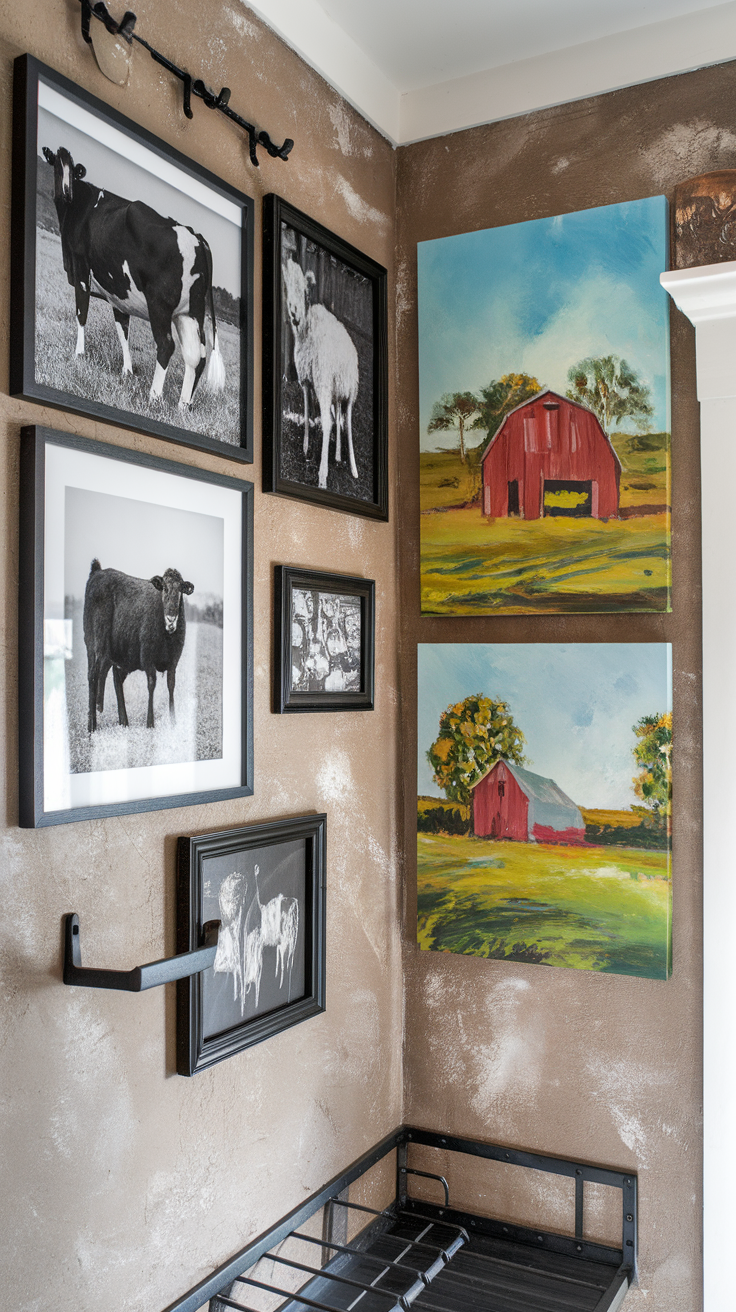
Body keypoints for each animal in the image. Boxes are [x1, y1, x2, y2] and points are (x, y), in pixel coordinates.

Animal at [42, 146, 224, 406]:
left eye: (71, 169)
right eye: (57, 166)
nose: (66, 192)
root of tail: (195, 235)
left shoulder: (80, 268)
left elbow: (81, 312)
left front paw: (78, 353)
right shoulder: (118, 292)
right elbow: (123, 329)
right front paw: (127, 371)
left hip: (160, 305)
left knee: (166, 345)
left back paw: (154, 397)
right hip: (191, 312)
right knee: (196, 356)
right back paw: (183, 406)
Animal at [83, 558, 194, 734]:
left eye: (180, 590)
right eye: (164, 588)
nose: (171, 618)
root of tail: (97, 571)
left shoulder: (173, 660)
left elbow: (171, 684)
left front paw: (173, 722)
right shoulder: (147, 656)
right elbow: (151, 683)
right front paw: (150, 723)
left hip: (119, 654)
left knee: (115, 678)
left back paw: (123, 722)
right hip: (93, 642)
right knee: (93, 675)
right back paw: (92, 725)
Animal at [280, 259, 359, 493]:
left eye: (305, 290)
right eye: (287, 286)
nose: (294, 313)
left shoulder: (312, 379)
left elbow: (314, 413)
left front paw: (310, 452)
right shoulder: (318, 384)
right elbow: (322, 413)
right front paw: (318, 448)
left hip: (333, 384)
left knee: (335, 420)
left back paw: (330, 473)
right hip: (342, 389)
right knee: (342, 416)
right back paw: (345, 460)